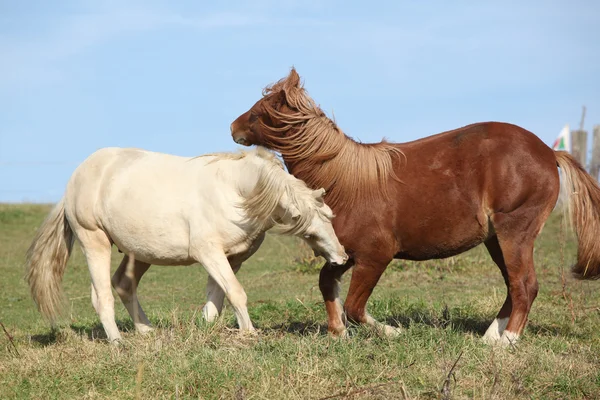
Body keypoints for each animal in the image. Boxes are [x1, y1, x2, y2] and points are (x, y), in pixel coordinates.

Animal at [25, 148, 346, 342]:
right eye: (304, 225)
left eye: (330, 216)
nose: (341, 258)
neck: (233, 190)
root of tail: (77, 178)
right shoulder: (209, 253)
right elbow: (236, 294)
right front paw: (248, 333)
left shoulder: (231, 259)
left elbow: (217, 299)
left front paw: (205, 331)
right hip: (95, 241)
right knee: (102, 295)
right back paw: (117, 341)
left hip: (139, 253)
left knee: (123, 285)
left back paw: (146, 331)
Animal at [232, 68, 600, 344]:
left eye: (260, 112)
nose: (233, 127)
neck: (346, 181)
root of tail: (549, 152)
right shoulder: (346, 253)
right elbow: (327, 283)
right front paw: (338, 332)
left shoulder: (375, 255)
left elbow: (354, 306)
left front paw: (391, 332)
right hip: (496, 238)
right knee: (514, 283)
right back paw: (490, 337)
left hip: (515, 231)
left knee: (525, 284)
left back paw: (507, 341)